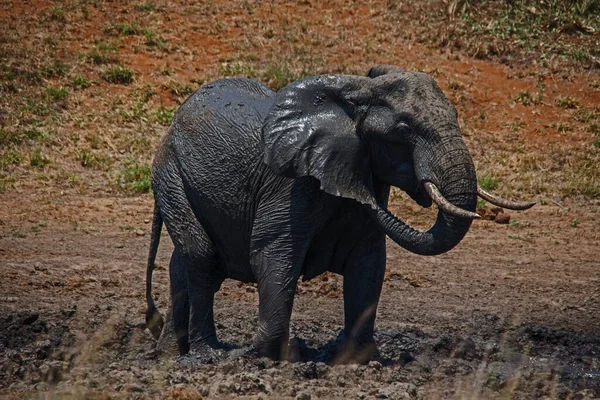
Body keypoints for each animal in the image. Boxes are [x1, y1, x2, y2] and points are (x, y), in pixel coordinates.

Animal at [145, 64, 536, 360]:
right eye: (404, 129)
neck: (355, 96)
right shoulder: (290, 187)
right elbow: (274, 255)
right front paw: (263, 356)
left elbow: (369, 265)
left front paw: (357, 360)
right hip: (169, 171)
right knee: (201, 257)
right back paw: (207, 353)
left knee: (185, 262)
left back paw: (170, 355)